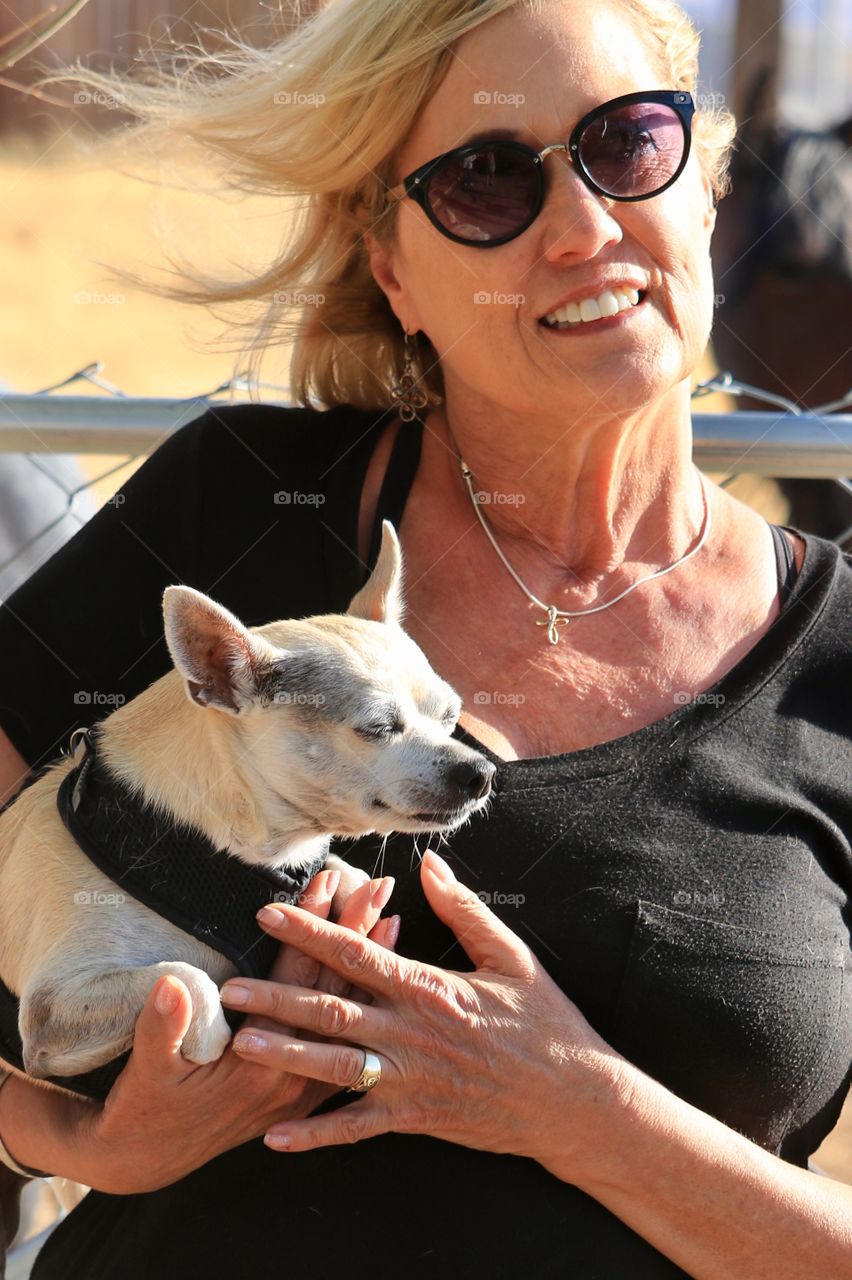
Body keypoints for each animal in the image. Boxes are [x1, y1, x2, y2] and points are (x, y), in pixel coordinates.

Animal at [0, 524, 491, 1085]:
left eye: (450, 717)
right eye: (379, 728)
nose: (481, 773)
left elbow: (347, 873)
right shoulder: (49, 1010)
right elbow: (188, 977)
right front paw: (211, 1034)